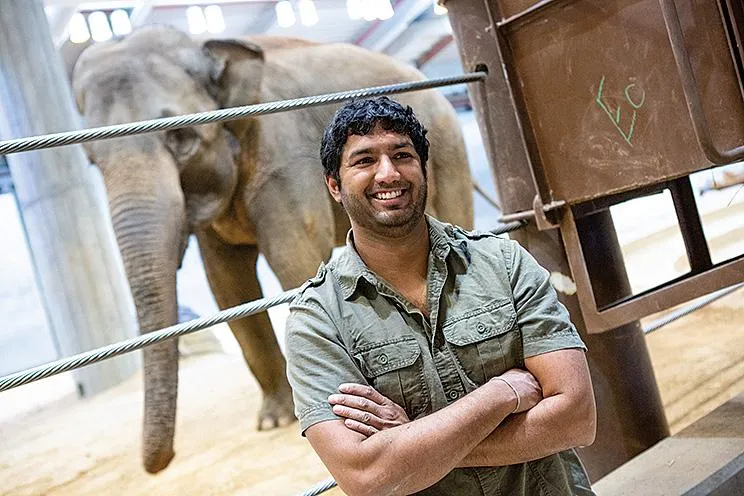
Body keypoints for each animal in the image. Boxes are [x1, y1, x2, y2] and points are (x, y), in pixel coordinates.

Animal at [72, 25, 474, 474]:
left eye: (180, 136)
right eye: (92, 160)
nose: (158, 465)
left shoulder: (283, 156)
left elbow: (292, 257)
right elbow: (226, 283)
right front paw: (273, 421)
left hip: (447, 148)